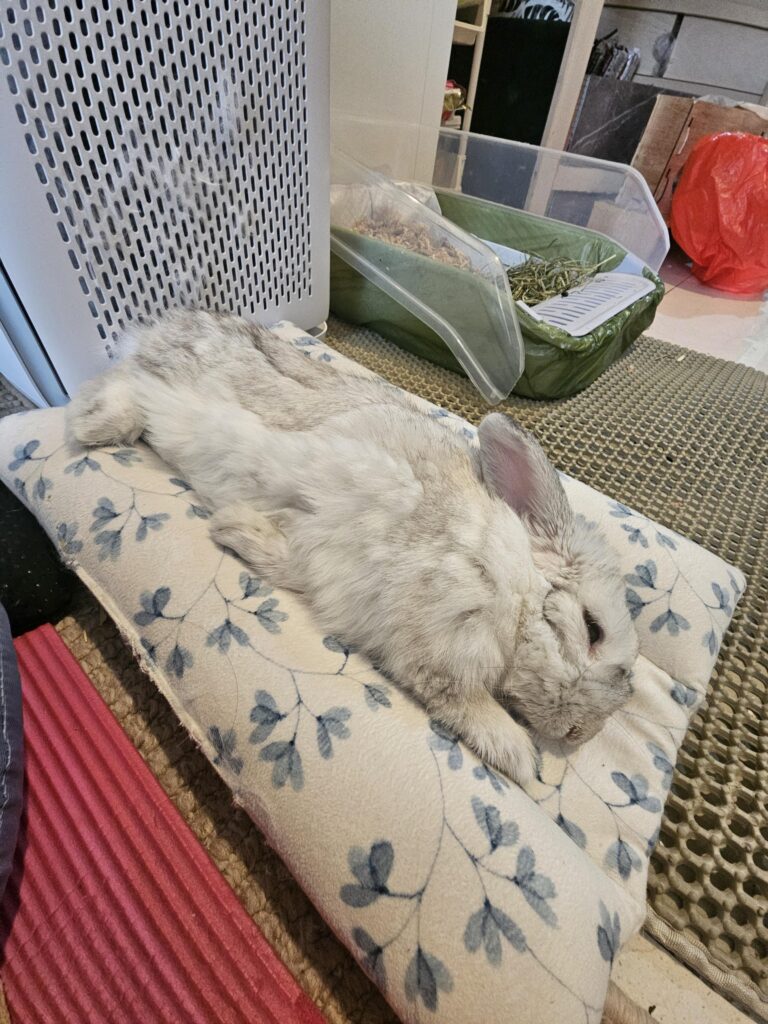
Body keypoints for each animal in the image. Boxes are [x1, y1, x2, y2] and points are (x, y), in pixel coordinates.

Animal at [67, 310, 638, 784]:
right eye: (593, 629)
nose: (576, 737)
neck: (515, 584)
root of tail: (166, 324)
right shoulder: (437, 638)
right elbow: (461, 702)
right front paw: (521, 758)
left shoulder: (328, 570)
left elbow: (289, 557)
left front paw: (234, 529)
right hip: (167, 383)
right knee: (123, 382)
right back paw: (89, 427)